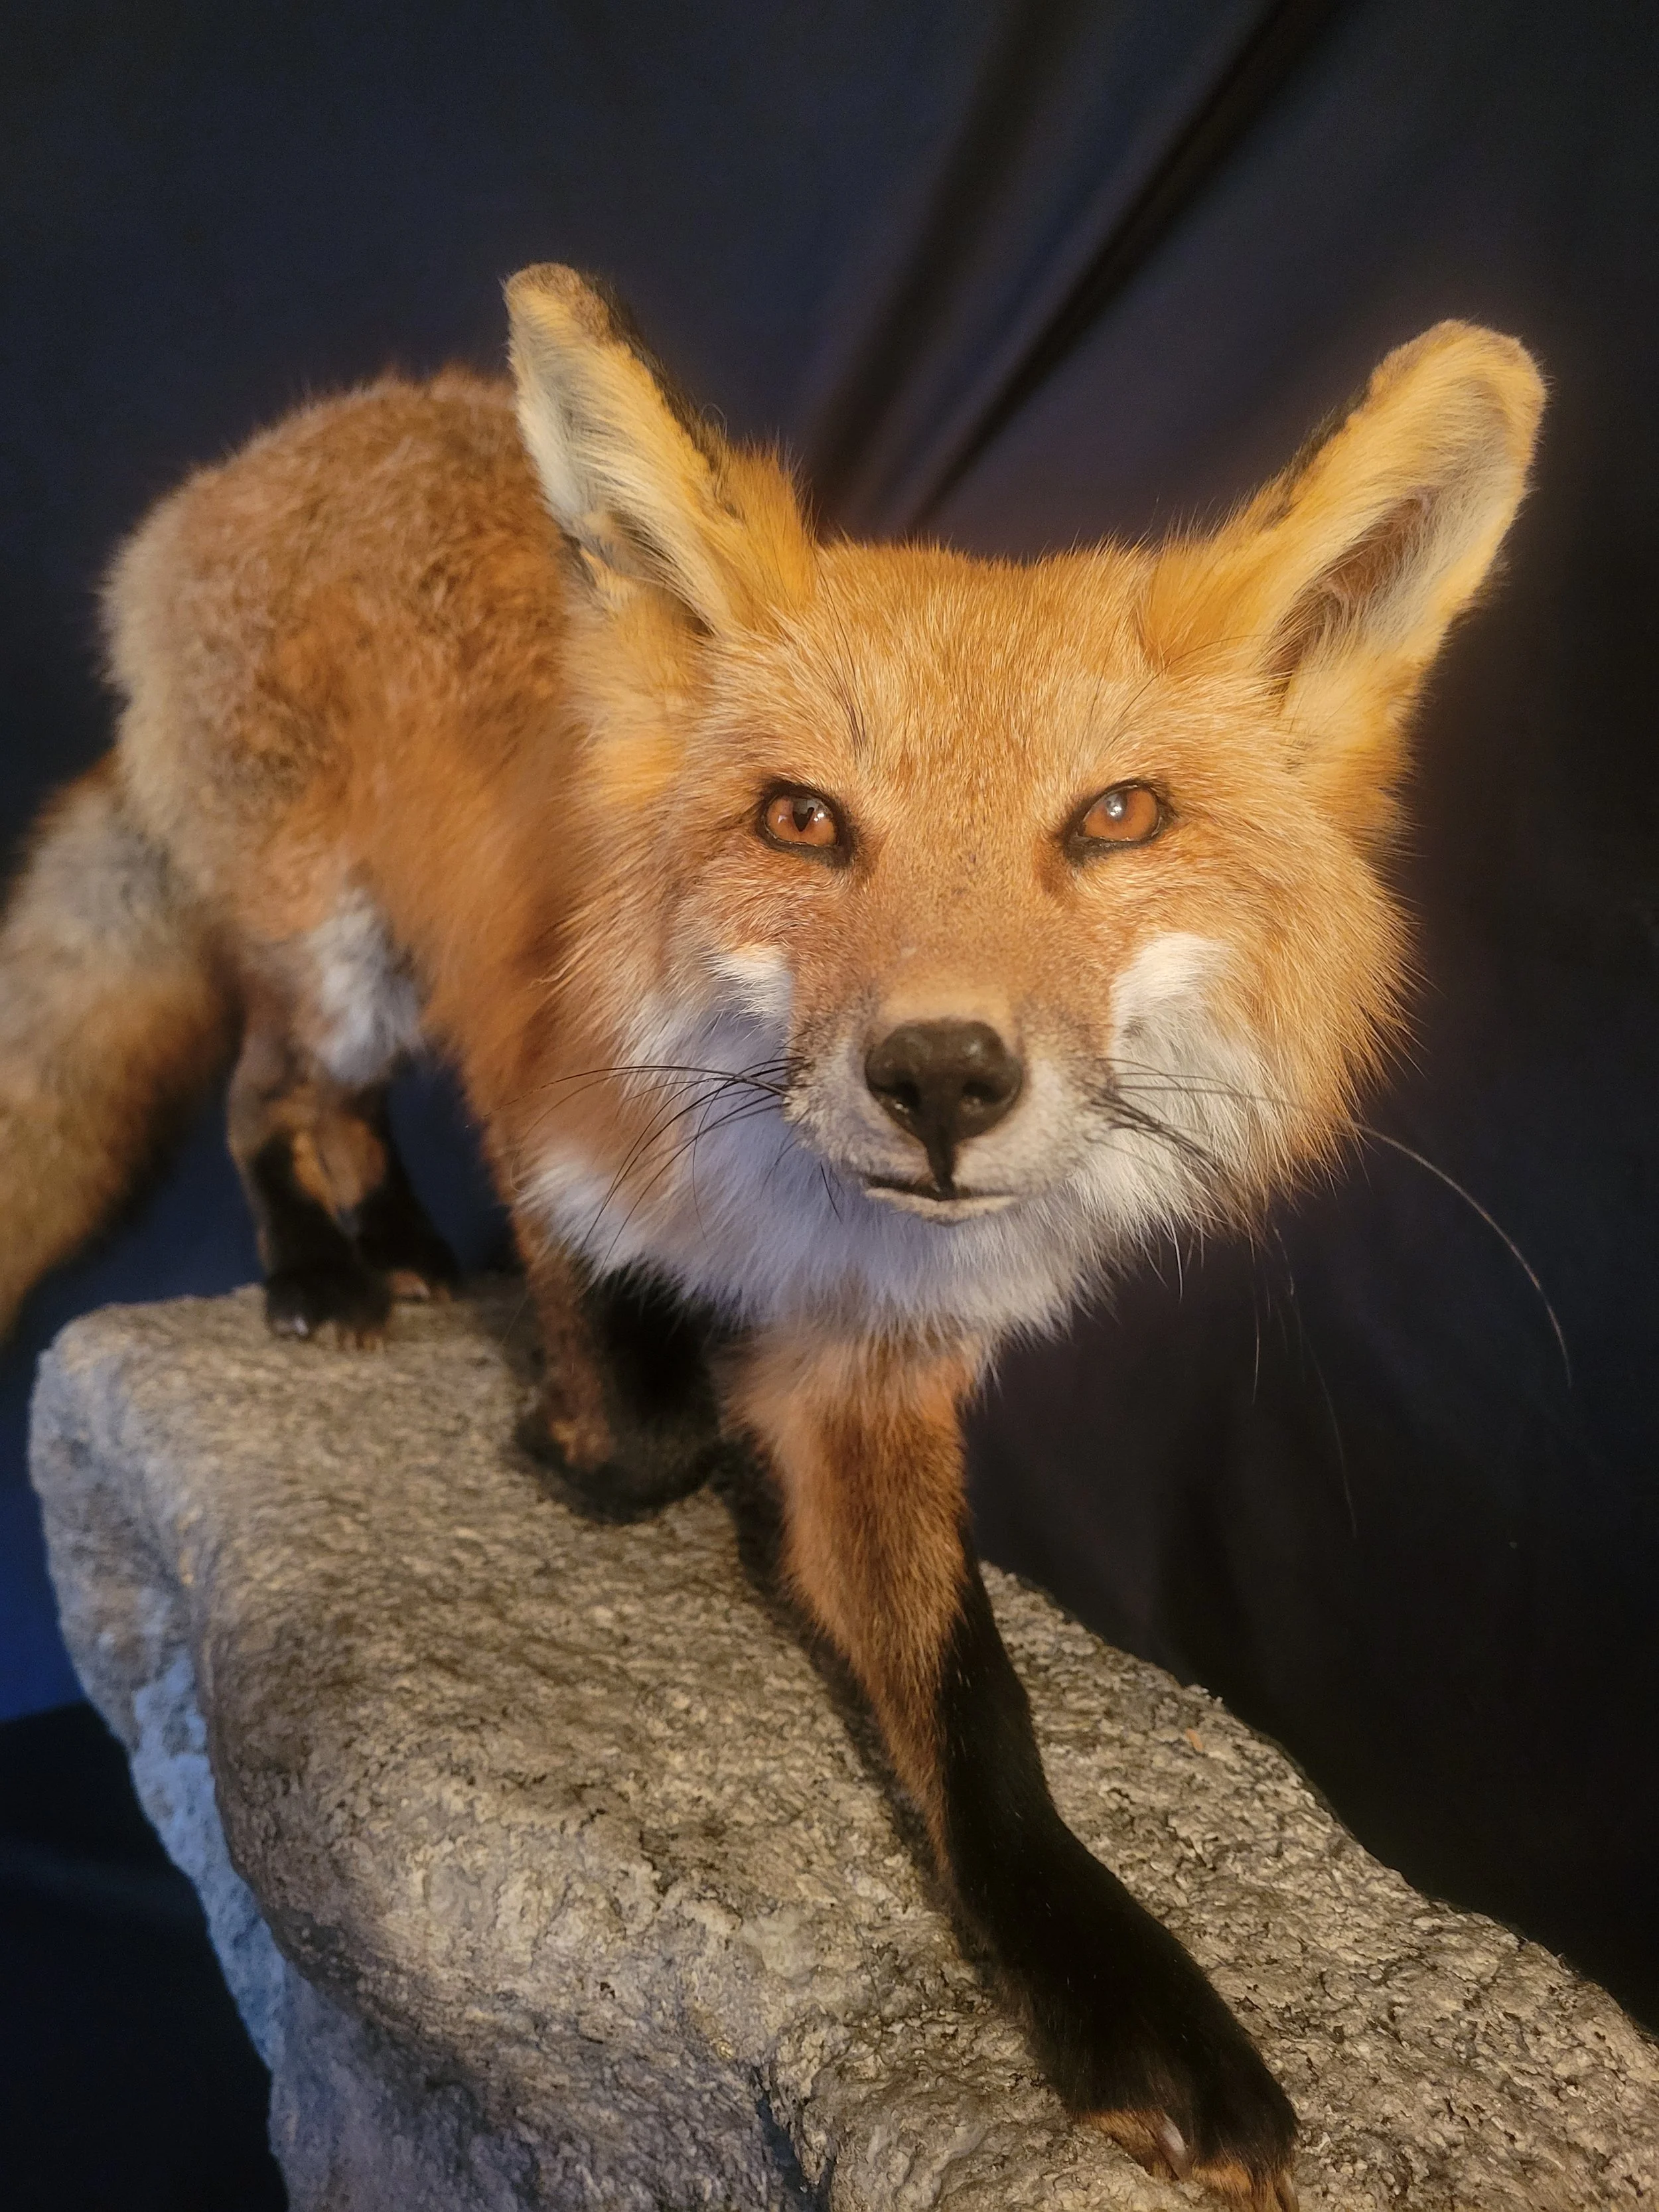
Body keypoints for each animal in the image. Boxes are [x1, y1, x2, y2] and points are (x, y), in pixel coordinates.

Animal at [0, 265, 1543, 2207]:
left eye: (1116, 819)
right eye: (802, 821)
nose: (942, 1074)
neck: (804, 1212)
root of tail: (282, 444)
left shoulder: (878, 1372)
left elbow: (975, 1706)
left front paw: (1121, 1989)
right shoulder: (550, 1112)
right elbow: (644, 1415)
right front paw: (581, 1426)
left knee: (332, 1109)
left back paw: (408, 1249)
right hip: (337, 958)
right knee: (269, 1093)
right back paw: (323, 1270)